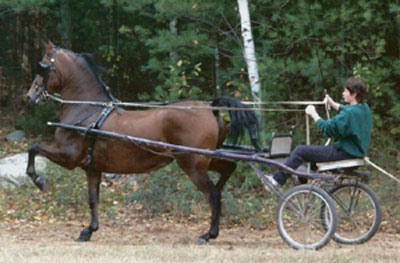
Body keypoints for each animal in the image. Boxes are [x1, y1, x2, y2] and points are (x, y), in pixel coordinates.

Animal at [25, 41, 260, 245]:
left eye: (43, 66)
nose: (30, 95)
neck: (88, 111)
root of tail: (210, 106)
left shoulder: (68, 157)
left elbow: (33, 148)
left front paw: (39, 180)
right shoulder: (92, 168)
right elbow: (93, 199)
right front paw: (88, 231)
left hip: (192, 164)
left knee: (212, 194)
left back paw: (208, 234)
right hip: (206, 159)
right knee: (228, 170)